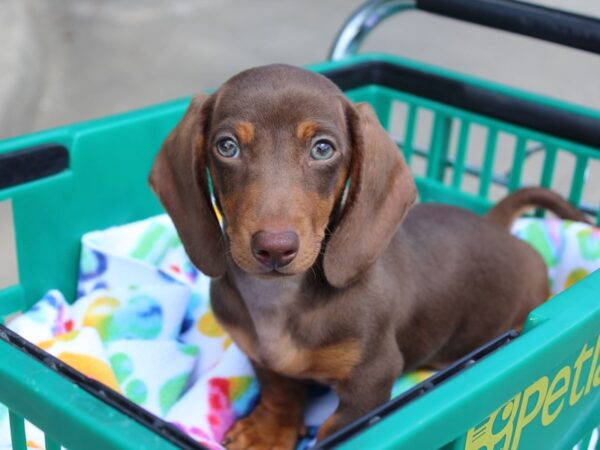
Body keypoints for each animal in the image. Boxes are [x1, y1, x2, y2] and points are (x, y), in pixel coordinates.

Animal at [148, 63, 588, 450]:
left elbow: (334, 428)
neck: (280, 300)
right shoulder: (259, 352)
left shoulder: (372, 377)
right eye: (227, 146)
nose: (274, 247)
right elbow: (278, 388)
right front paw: (269, 432)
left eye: (322, 149)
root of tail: (495, 225)